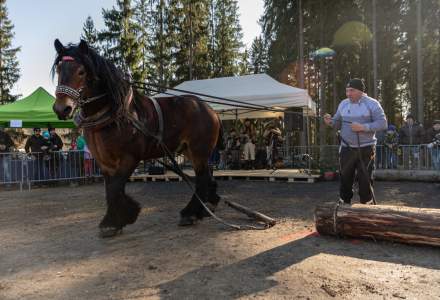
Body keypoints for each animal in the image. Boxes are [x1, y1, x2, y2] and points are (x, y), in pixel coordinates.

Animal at [52, 39, 222, 237]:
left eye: (81, 71)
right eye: (59, 69)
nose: (61, 108)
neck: (115, 115)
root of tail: (210, 110)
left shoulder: (130, 158)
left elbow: (115, 189)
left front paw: (115, 220)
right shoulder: (104, 162)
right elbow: (110, 189)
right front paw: (117, 220)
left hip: (199, 151)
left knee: (201, 179)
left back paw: (190, 213)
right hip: (190, 151)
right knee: (207, 177)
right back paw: (208, 205)